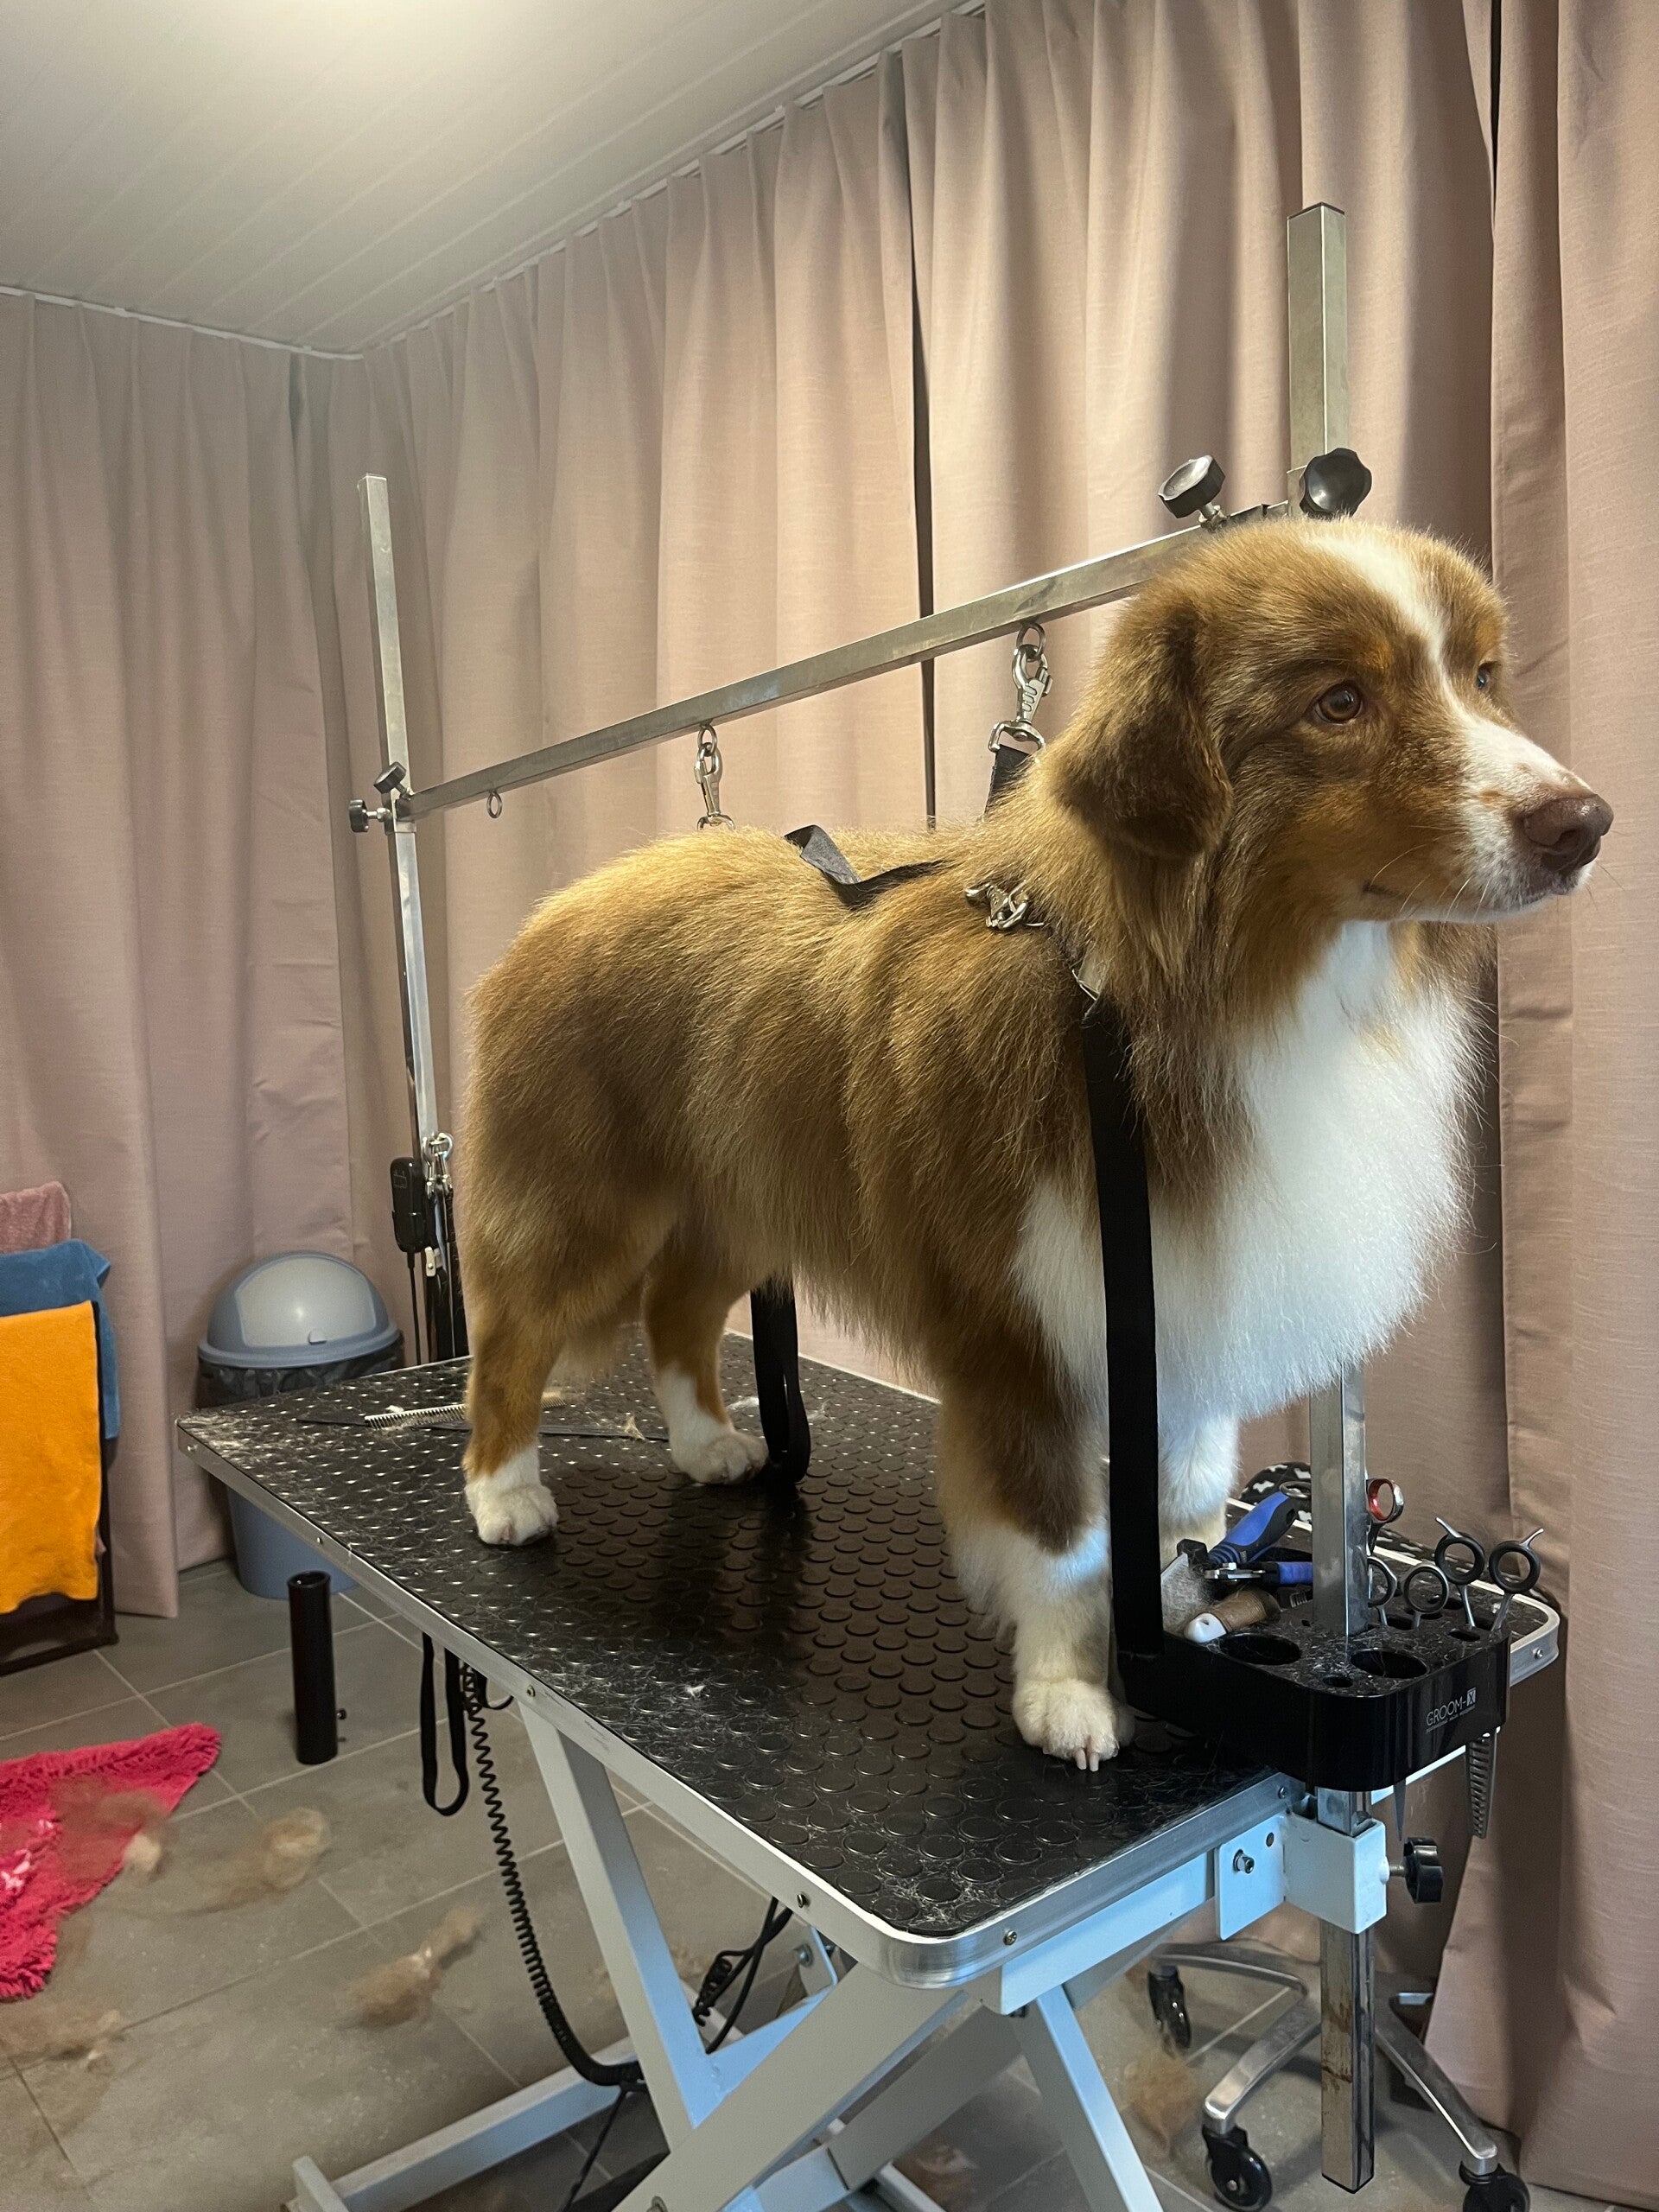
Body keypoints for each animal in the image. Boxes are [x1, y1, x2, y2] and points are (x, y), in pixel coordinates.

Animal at [456, 516, 1610, 1768]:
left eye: (1483, 677)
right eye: (1339, 703)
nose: (1584, 823)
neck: (1198, 993)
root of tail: (562, 905)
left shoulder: (1186, 1296)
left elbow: (1183, 1494)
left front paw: (1179, 1612)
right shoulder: (1017, 1322)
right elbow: (1061, 1540)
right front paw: (1067, 1693)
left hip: (734, 1198)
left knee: (676, 1312)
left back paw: (708, 1442)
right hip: (585, 1204)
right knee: (512, 1338)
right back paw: (503, 1494)